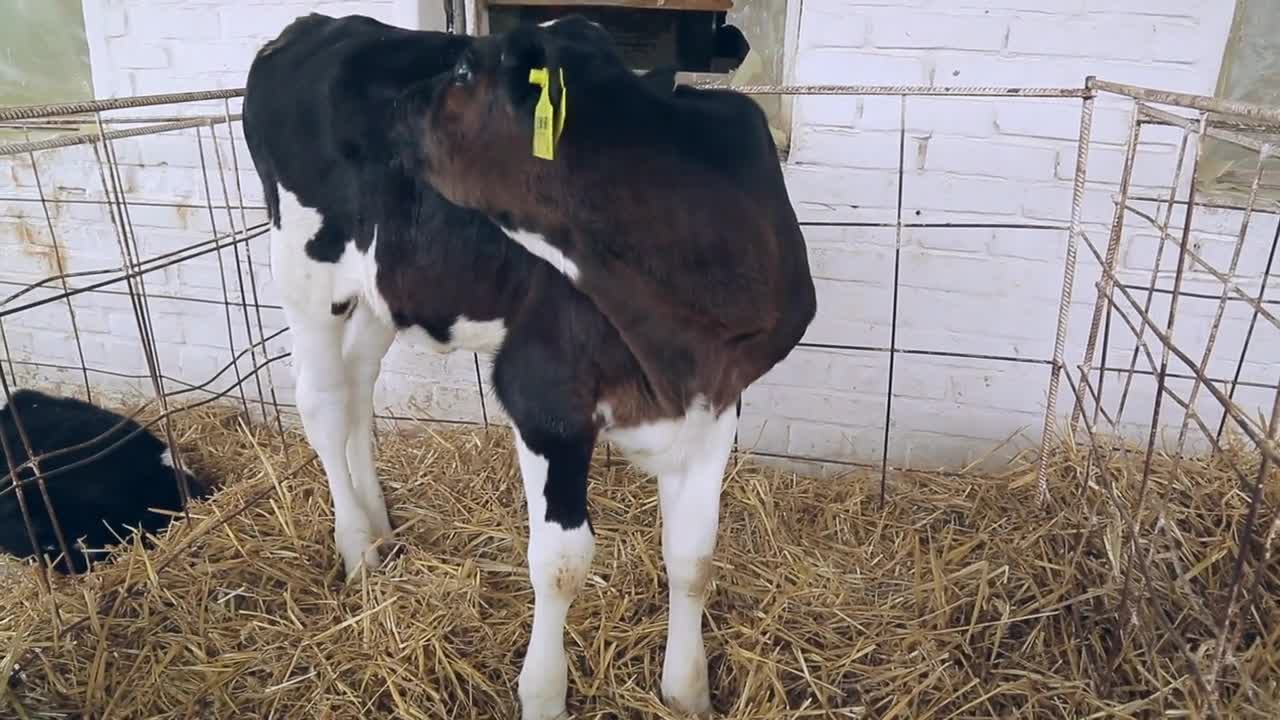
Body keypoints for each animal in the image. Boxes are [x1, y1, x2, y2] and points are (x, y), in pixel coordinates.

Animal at [244, 12, 814, 717]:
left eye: (465, 70)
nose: (392, 109)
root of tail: (316, 22)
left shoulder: (715, 403)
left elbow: (693, 556)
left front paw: (686, 692)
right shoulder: (543, 398)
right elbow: (562, 562)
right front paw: (543, 693)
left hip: (380, 293)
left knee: (358, 395)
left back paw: (379, 528)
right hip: (305, 272)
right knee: (322, 405)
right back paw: (357, 550)